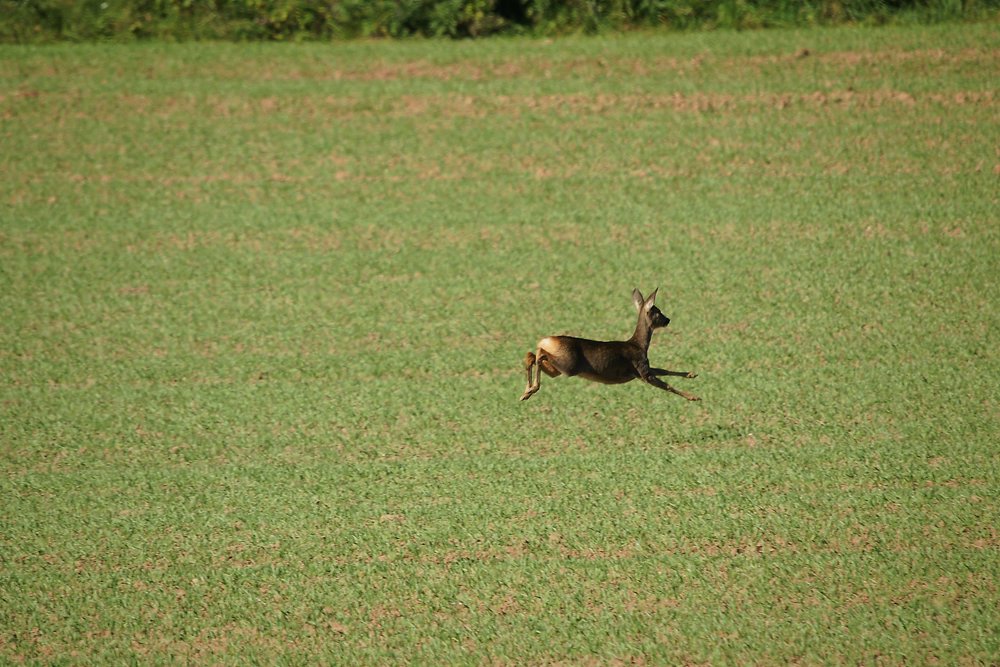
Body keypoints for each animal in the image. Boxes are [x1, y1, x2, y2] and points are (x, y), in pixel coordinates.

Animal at [520, 289, 700, 402]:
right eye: (658, 311)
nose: (668, 320)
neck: (639, 345)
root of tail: (547, 339)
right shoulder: (642, 370)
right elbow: (667, 385)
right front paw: (694, 397)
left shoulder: (641, 370)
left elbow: (664, 370)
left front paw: (691, 374)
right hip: (569, 365)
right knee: (539, 354)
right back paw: (530, 389)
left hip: (556, 370)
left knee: (532, 355)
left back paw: (526, 391)